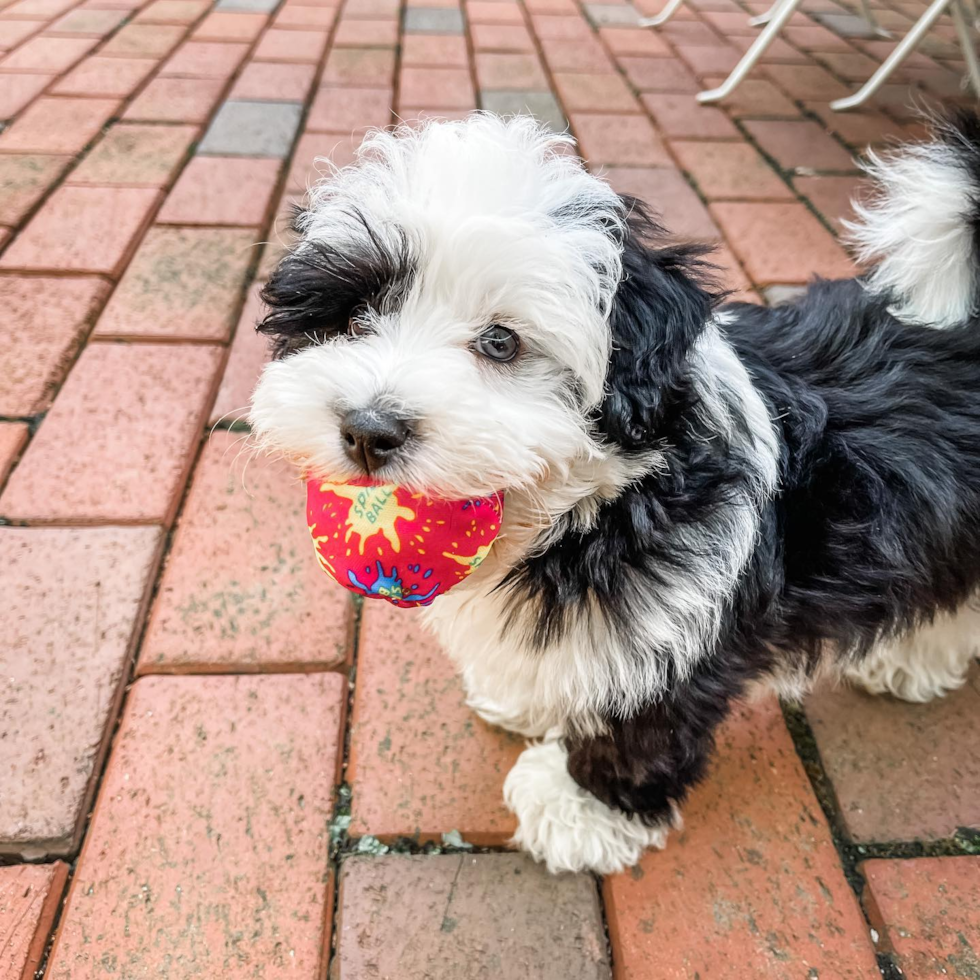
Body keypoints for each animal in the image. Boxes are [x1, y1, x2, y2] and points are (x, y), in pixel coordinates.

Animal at [249, 113, 980, 872]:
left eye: (502, 343)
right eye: (354, 316)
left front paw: (579, 806)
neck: (600, 504)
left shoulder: (682, 621)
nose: (368, 429)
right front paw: (531, 697)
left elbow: (642, 723)